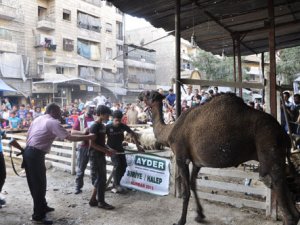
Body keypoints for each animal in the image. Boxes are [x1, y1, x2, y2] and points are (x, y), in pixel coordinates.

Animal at [138, 91, 300, 225]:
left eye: (148, 94)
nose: (139, 96)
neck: (169, 132)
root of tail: (284, 134)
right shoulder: (197, 162)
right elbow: (193, 185)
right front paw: (200, 215)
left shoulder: (181, 157)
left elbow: (186, 192)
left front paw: (180, 221)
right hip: (278, 156)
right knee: (284, 186)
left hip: (269, 147)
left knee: (273, 182)